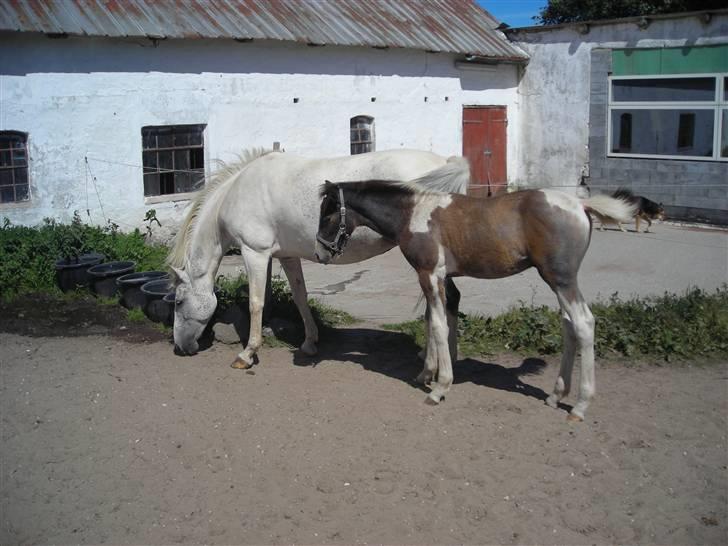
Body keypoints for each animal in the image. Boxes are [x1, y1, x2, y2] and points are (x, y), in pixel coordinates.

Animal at [167, 148, 470, 366]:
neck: (237, 192)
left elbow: (256, 303)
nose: (180, 347)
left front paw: (247, 354)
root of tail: (446, 162)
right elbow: (300, 297)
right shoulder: (286, 256)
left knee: (447, 299)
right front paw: (310, 342)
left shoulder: (255, 253)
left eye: (179, 302)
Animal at [316, 181, 636, 418]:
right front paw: (426, 373)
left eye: (328, 214)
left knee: (583, 324)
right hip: (559, 283)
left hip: (561, 279)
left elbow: (438, 326)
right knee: (569, 325)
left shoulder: (429, 274)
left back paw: (580, 406)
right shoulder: (437, 276)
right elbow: (432, 320)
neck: (414, 214)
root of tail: (581, 205)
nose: (320, 253)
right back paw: (556, 396)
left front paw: (439, 388)